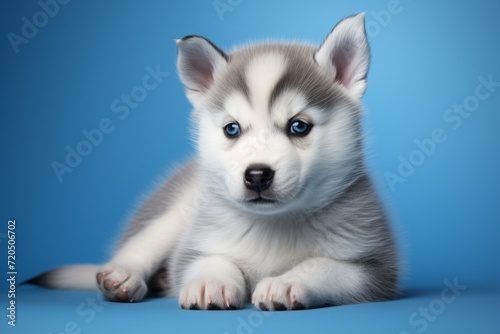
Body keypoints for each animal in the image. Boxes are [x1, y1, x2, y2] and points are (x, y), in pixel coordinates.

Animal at [32, 13, 398, 310]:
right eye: (231, 129)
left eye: (299, 126)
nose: (257, 175)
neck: (273, 224)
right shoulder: (195, 244)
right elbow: (209, 260)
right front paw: (212, 282)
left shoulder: (375, 267)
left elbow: (324, 266)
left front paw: (286, 282)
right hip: (182, 207)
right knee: (144, 241)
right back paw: (124, 275)